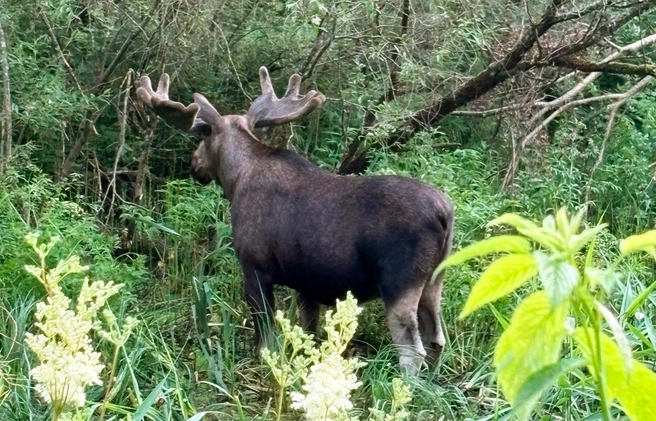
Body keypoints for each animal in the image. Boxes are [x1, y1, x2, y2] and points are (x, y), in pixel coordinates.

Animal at [137, 67, 454, 375]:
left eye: (202, 137)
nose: (194, 164)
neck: (234, 179)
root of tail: (444, 213)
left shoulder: (255, 267)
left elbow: (266, 340)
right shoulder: (307, 283)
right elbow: (309, 335)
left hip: (399, 282)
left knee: (412, 351)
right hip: (434, 280)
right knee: (437, 339)